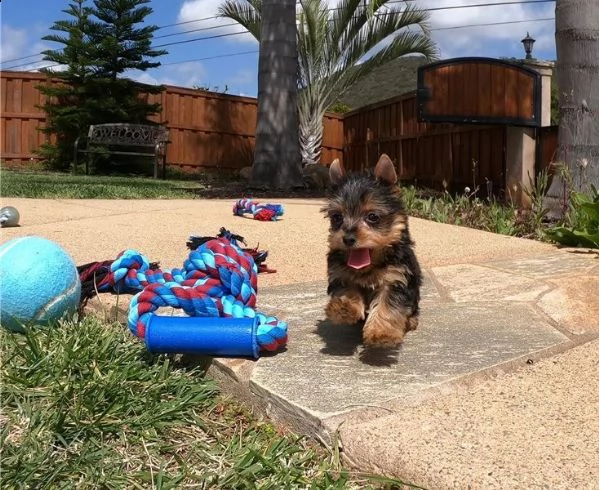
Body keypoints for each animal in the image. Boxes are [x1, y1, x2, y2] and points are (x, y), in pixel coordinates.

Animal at [324, 154, 422, 348]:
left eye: (372, 217)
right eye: (337, 217)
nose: (348, 239)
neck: (369, 266)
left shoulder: (395, 278)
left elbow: (389, 305)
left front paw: (382, 333)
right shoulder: (341, 274)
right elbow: (347, 289)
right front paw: (344, 308)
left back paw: (411, 321)